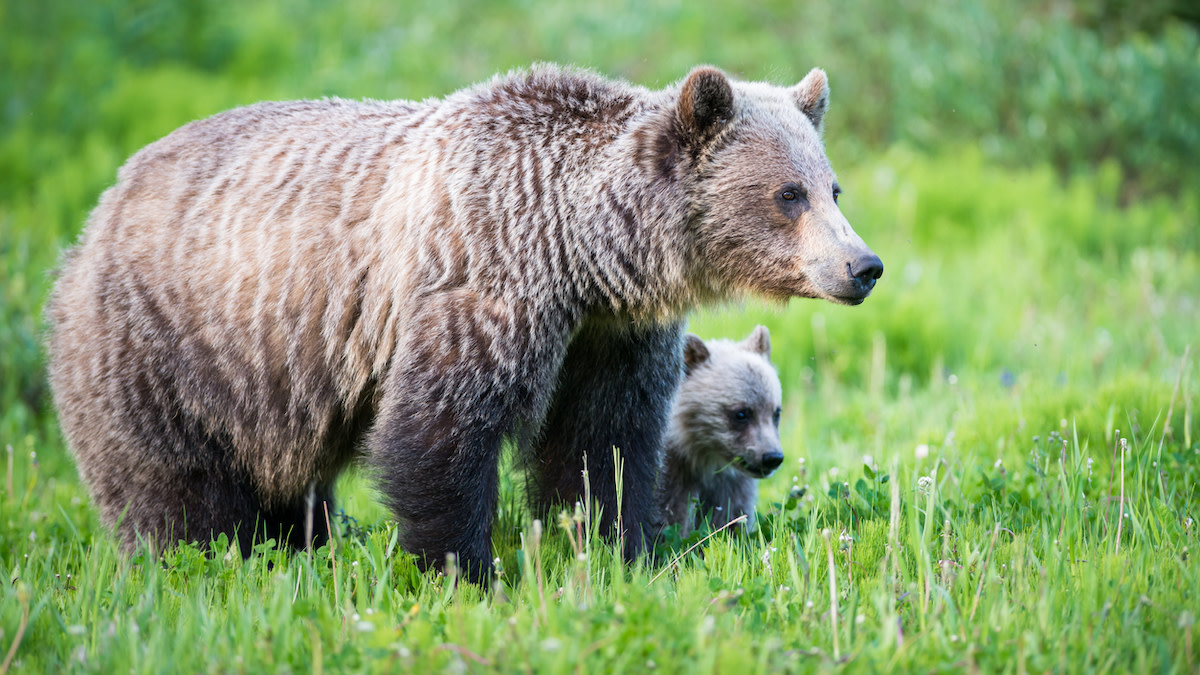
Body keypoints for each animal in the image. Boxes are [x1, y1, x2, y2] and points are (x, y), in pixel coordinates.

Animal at [657, 326, 783, 536]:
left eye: (776, 412)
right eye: (741, 413)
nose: (772, 457)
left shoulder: (729, 484)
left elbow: (731, 516)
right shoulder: (671, 473)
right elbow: (669, 516)